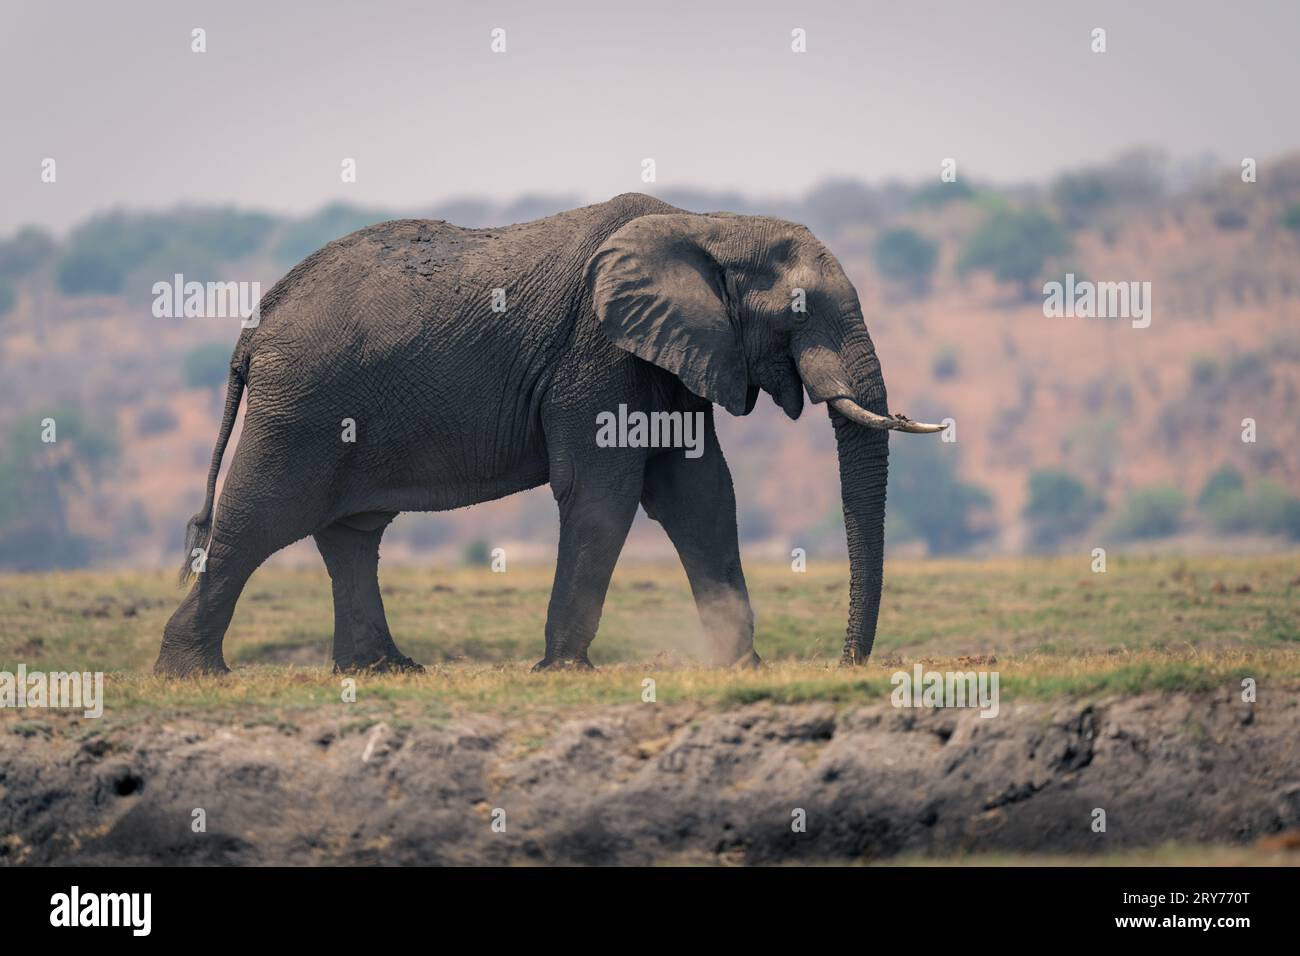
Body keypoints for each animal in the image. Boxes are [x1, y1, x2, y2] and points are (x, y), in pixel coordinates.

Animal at [155, 193, 942, 677]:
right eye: (801, 311)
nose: (847, 663)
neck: (710, 223)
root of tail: (255, 325)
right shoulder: (597, 352)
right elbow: (606, 491)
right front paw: (564, 668)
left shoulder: (666, 359)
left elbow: (700, 494)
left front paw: (739, 666)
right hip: (301, 410)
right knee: (258, 521)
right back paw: (193, 673)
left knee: (350, 533)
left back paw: (384, 670)